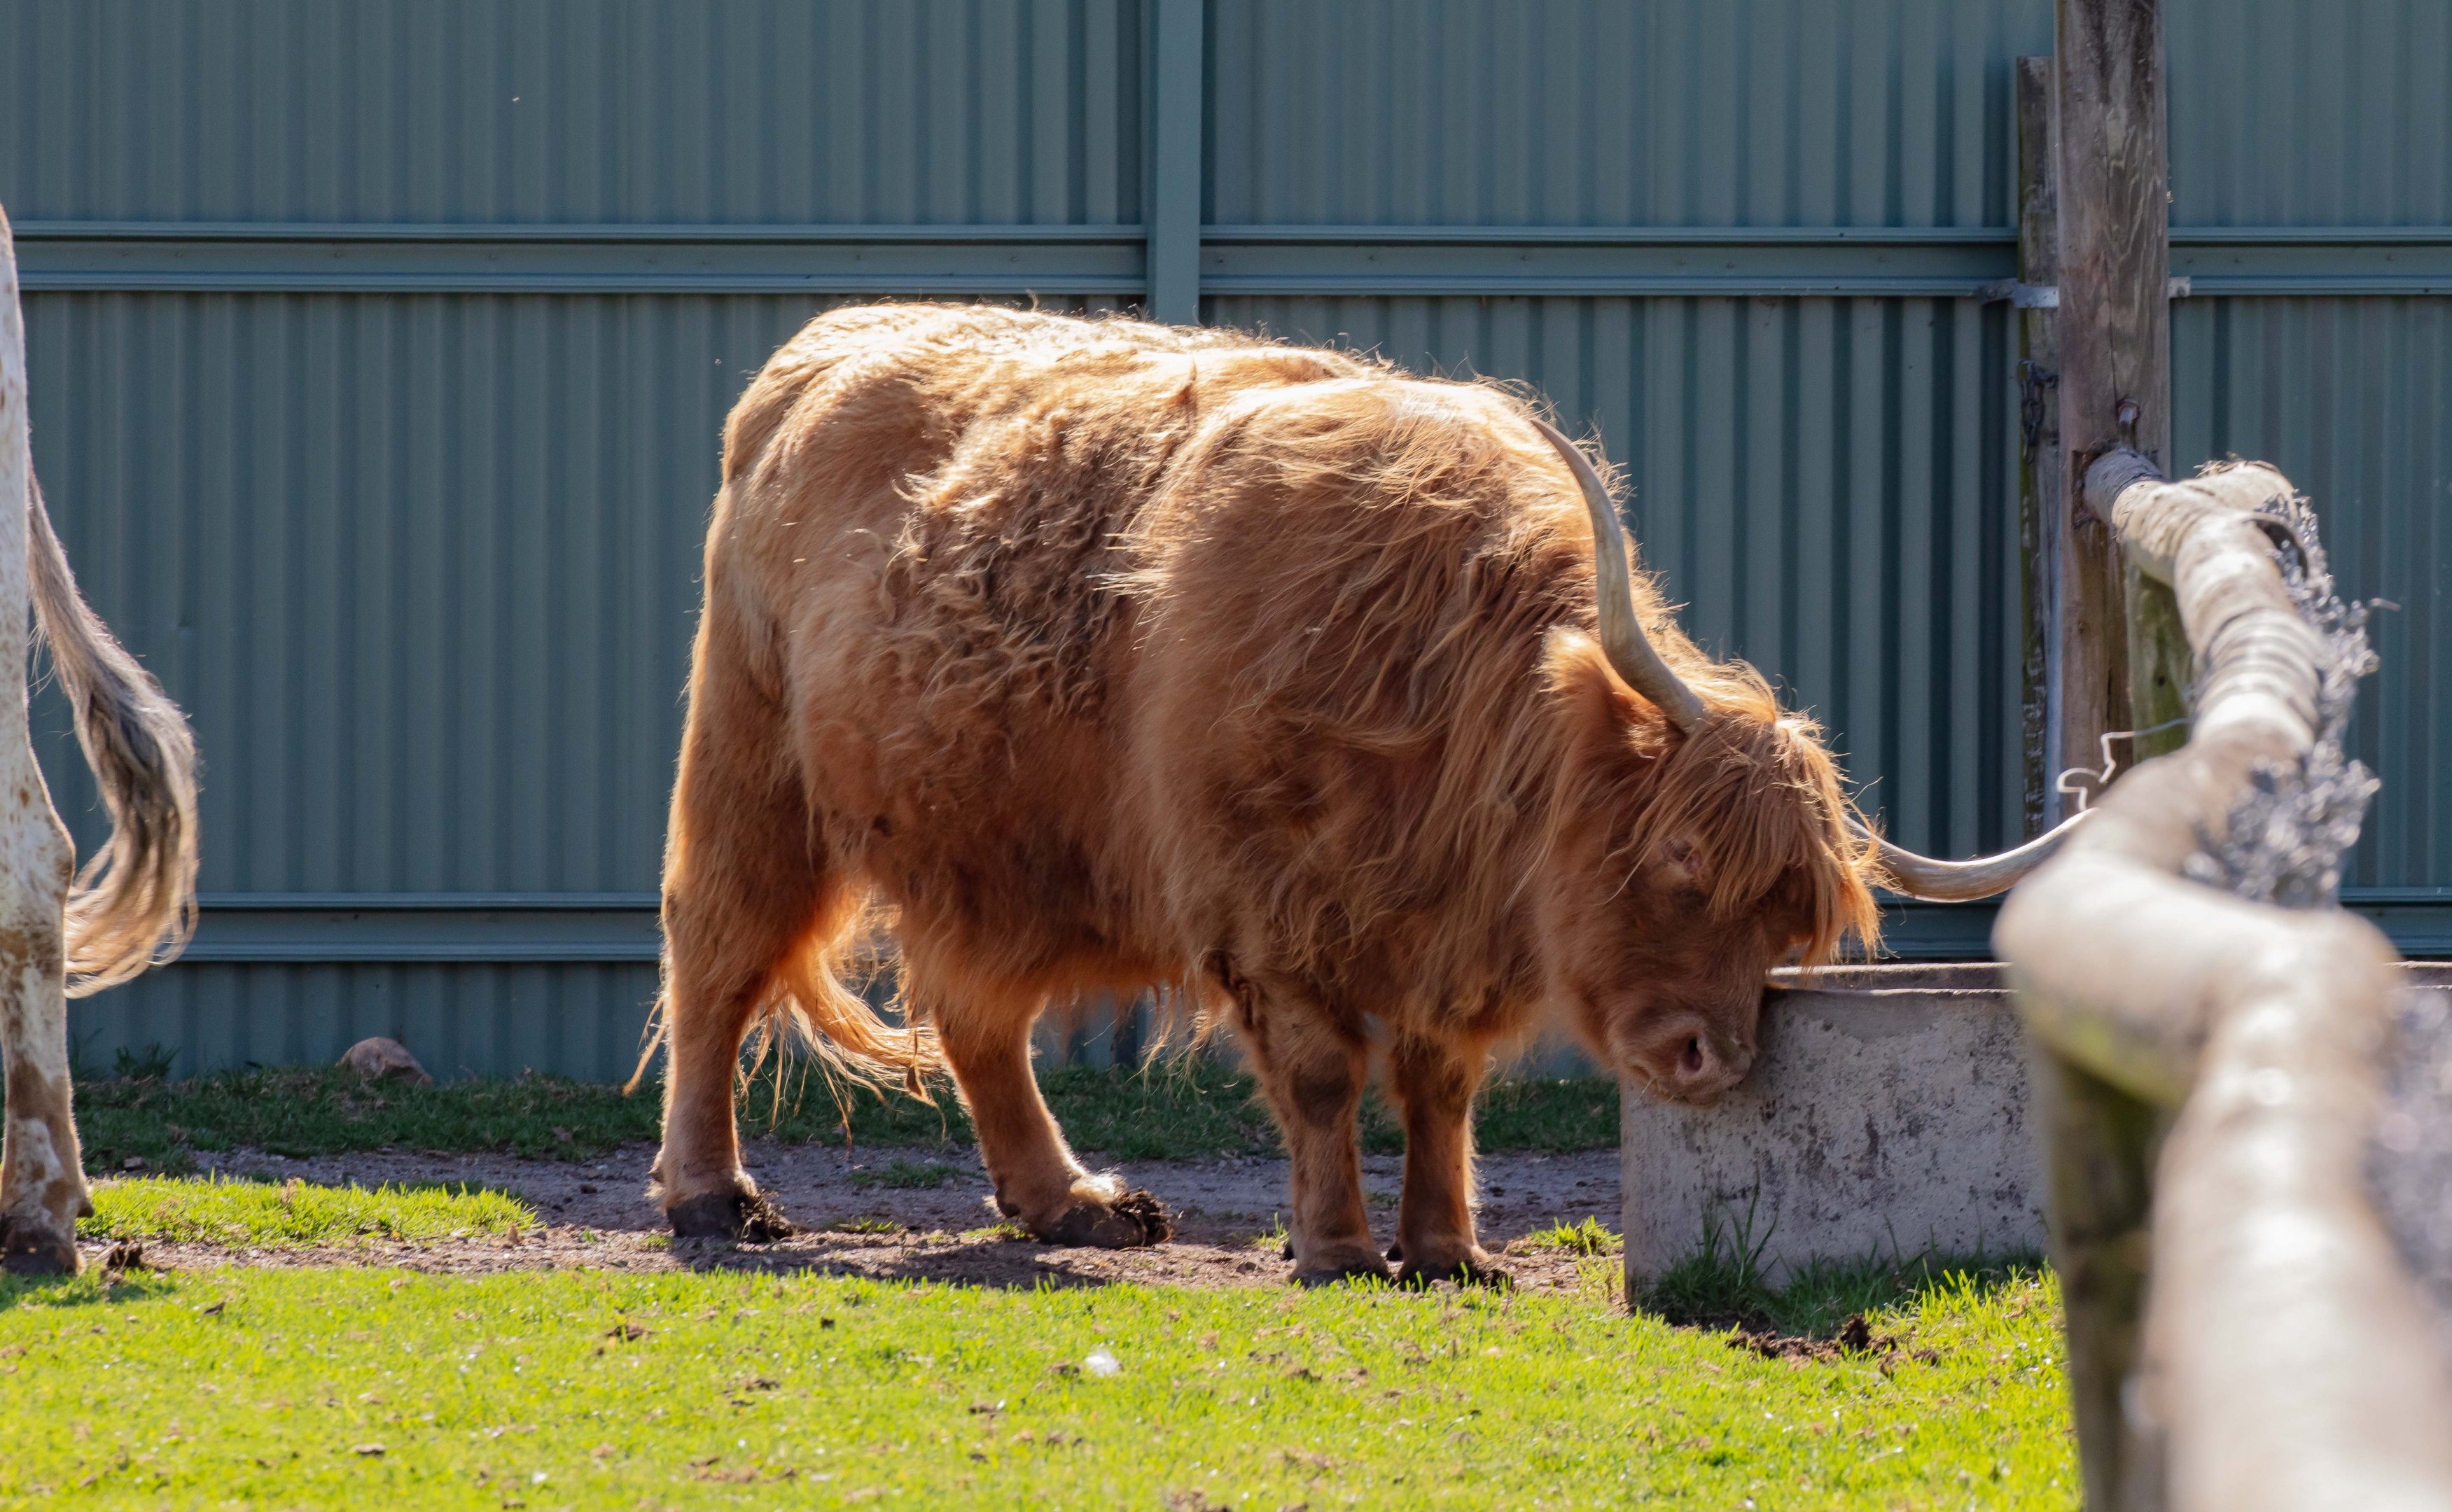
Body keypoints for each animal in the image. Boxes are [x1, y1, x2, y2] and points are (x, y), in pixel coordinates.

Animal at [644, 302, 2072, 1285]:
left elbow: (1439, 1085)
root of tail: (829, 345)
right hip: (753, 765)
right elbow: (1328, 1077)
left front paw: (1448, 1252)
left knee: (974, 1011)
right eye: (1676, 857)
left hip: (980, 844)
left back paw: (1072, 1201)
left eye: (1791, 921)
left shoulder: (1445, 944)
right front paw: (1333, 1248)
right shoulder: (1264, 910)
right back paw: (715, 1198)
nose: (1705, 1060)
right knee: (717, 955)